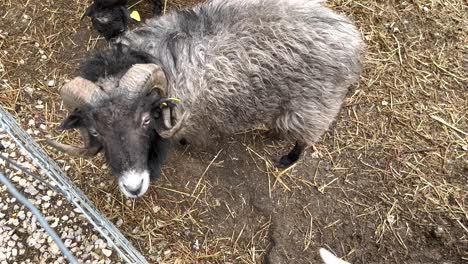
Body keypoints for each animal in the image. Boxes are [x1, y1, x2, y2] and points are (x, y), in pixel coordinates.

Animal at [49, 0, 368, 198]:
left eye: (145, 120)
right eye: (95, 132)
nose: (134, 187)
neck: (145, 57)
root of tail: (351, 38)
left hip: (313, 104)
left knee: (305, 138)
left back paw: (287, 157)